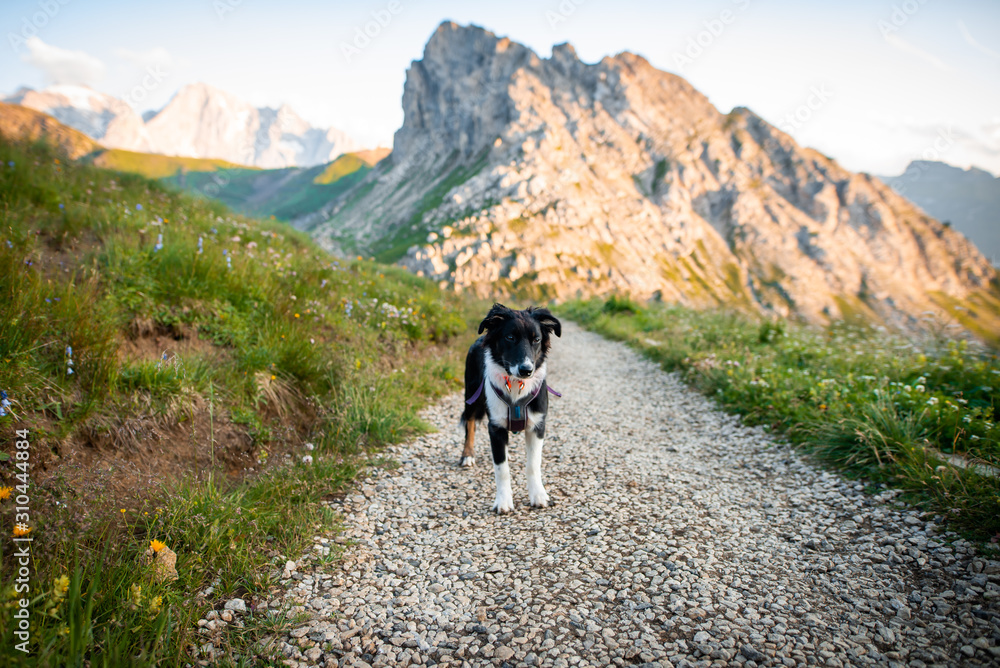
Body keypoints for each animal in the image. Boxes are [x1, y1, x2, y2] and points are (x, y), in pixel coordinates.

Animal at [460, 306, 564, 516]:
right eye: (509, 337)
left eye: (536, 339)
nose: (526, 370)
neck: (516, 385)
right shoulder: (496, 427)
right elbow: (502, 470)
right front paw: (503, 501)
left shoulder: (538, 425)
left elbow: (533, 464)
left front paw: (538, 495)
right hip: (471, 394)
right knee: (470, 424)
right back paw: (467, 455)